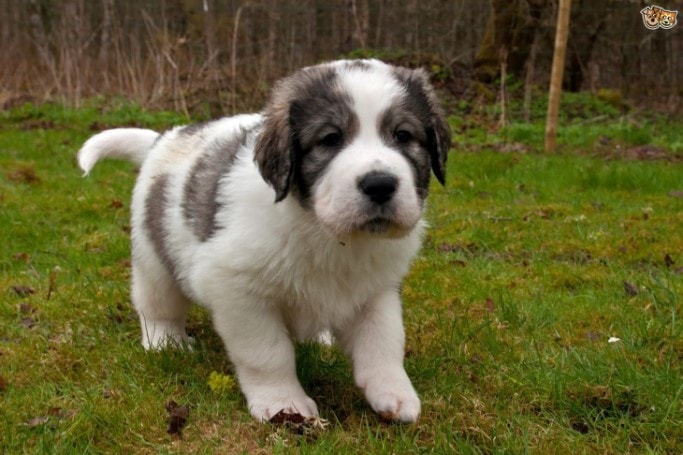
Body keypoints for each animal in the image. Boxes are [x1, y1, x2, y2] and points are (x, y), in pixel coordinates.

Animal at [77, 59, 452, 424]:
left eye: (403, 135)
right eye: (331, 139)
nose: (380, 184)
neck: (326, 233)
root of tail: (164, 138)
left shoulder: (378, 289)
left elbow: (383, 341)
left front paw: (394, 394)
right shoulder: (237, 289)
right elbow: (268, 353)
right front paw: (284, 404)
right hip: (153, 256)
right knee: (156, 303)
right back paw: (165, 342)